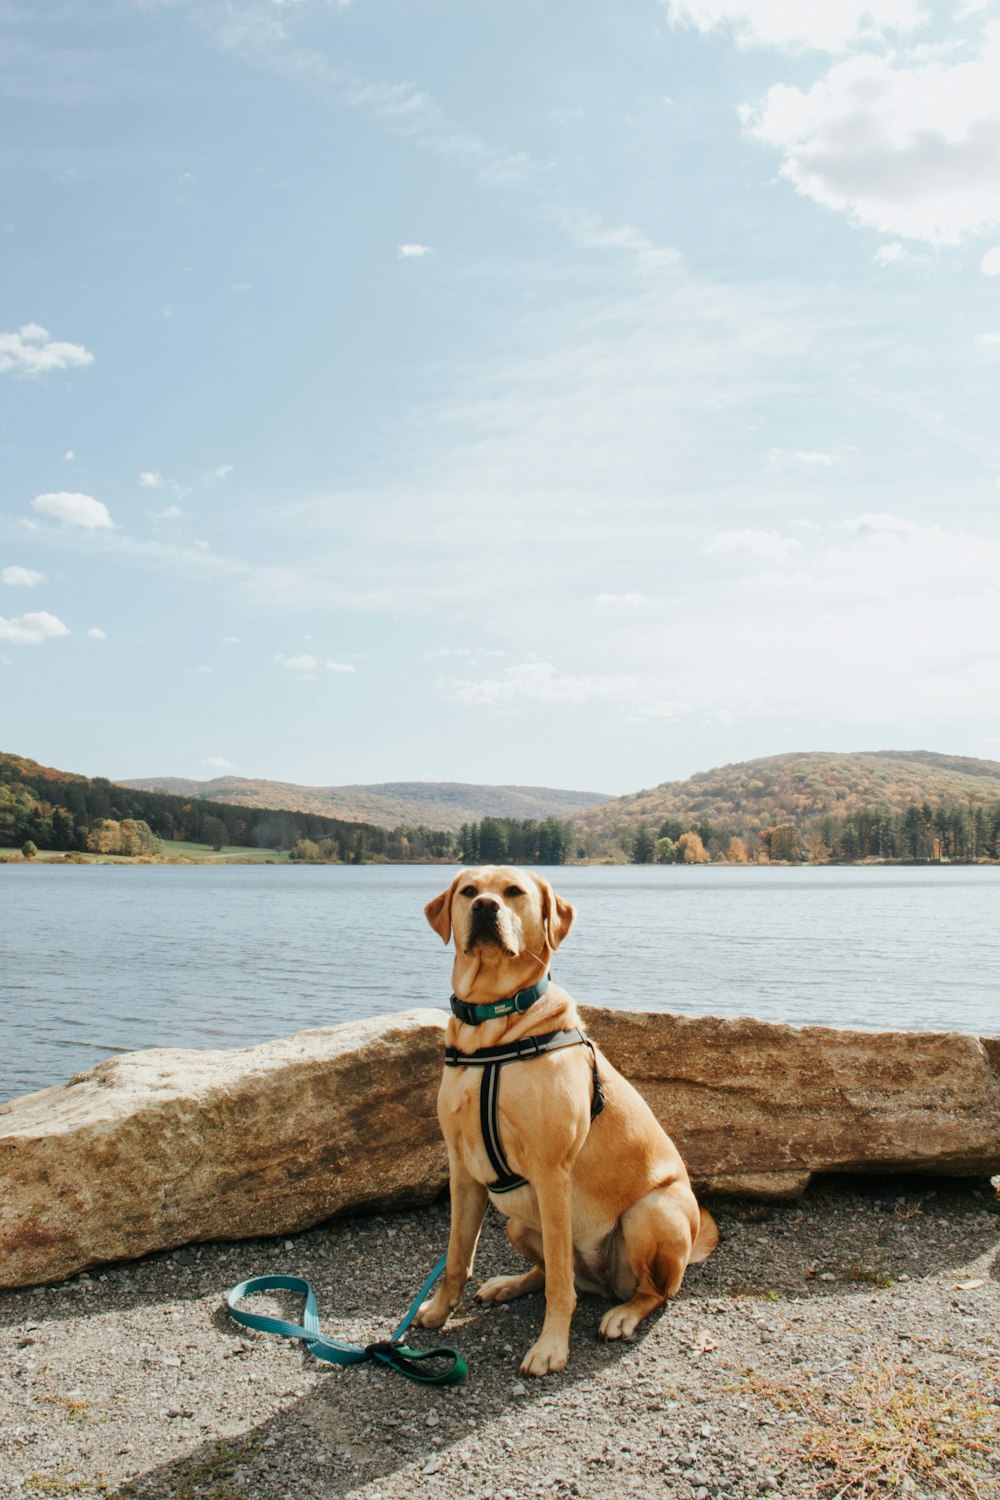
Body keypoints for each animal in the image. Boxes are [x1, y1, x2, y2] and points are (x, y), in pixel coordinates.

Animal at [413, 864, 719, 1374]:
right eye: (469, 891)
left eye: (514, 891)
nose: (485, 907)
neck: (493, 1028)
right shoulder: (463, 1169)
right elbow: (457, 1255)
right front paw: (438, 1310)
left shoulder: (552, 1173)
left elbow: (560, 1283)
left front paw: (551, 1347)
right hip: (519, 1223)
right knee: (549, 1270)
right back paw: (511, 1283)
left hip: (651, 1212)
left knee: (652, 1291)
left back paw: (624, 1313)